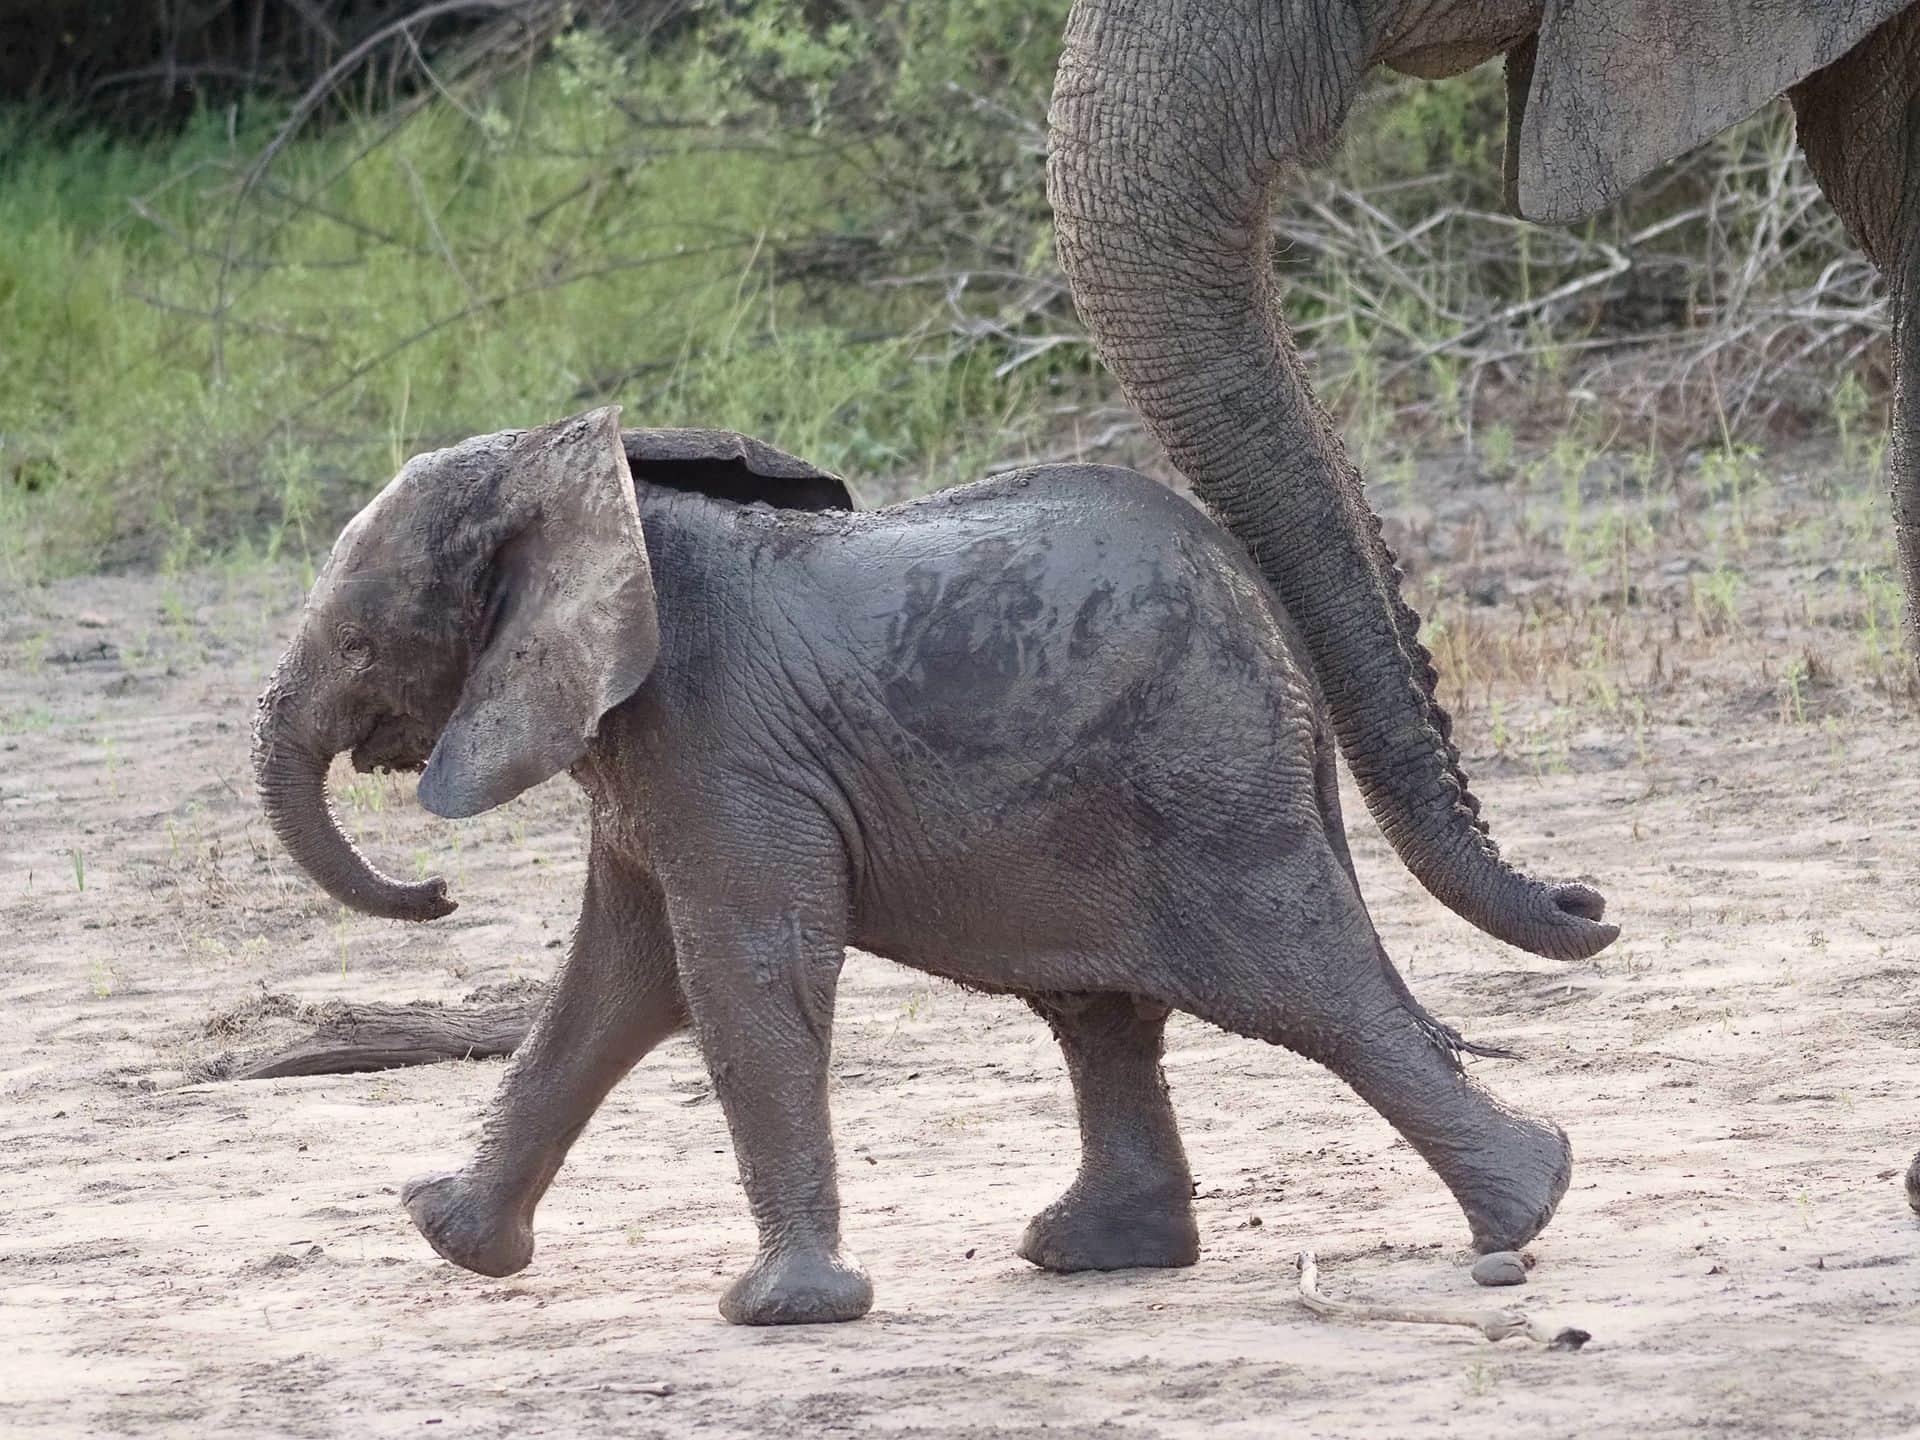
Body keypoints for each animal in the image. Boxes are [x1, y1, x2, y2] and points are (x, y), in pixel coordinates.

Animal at [253, 406, 1588, 1325]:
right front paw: (448, 1235)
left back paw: (1527, 1203)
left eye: (359, 642)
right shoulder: (649, 767)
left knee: (1303, 990)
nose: (436, 893)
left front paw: (782, 1315)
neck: (580, 488)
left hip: (1205, 777)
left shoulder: (728, 747)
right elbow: (615, 990)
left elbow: (744, 978)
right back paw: (1098, 1252)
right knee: (1104, 1013)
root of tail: (1272, 624)